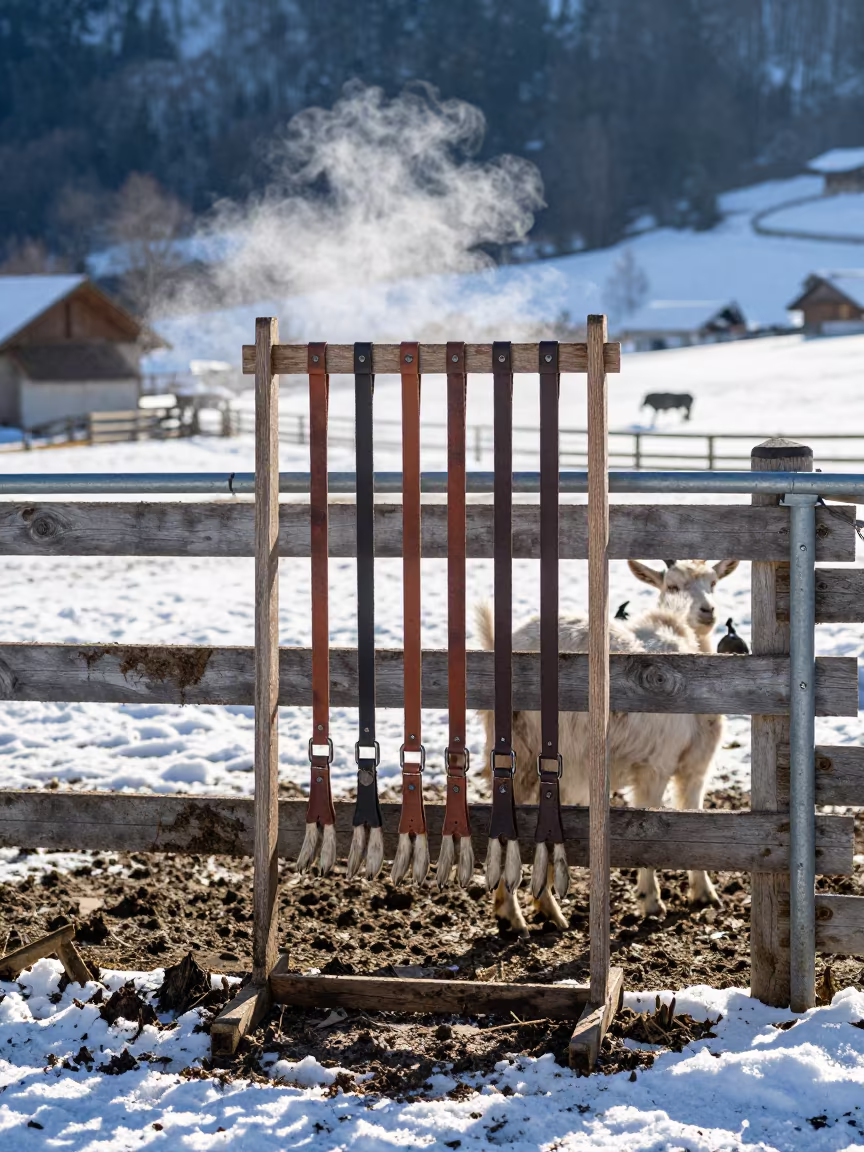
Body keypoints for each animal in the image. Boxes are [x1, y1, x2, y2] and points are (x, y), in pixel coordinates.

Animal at [476, 557, 739, 934]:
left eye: (714, 582)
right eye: (671, 585)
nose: (708, 611)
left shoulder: (695, 767)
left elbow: (696, 818)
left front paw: (704, 893)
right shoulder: (656, 764)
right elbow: (651, 823)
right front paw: (651, 901)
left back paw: (538, 910)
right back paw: (518, 913)